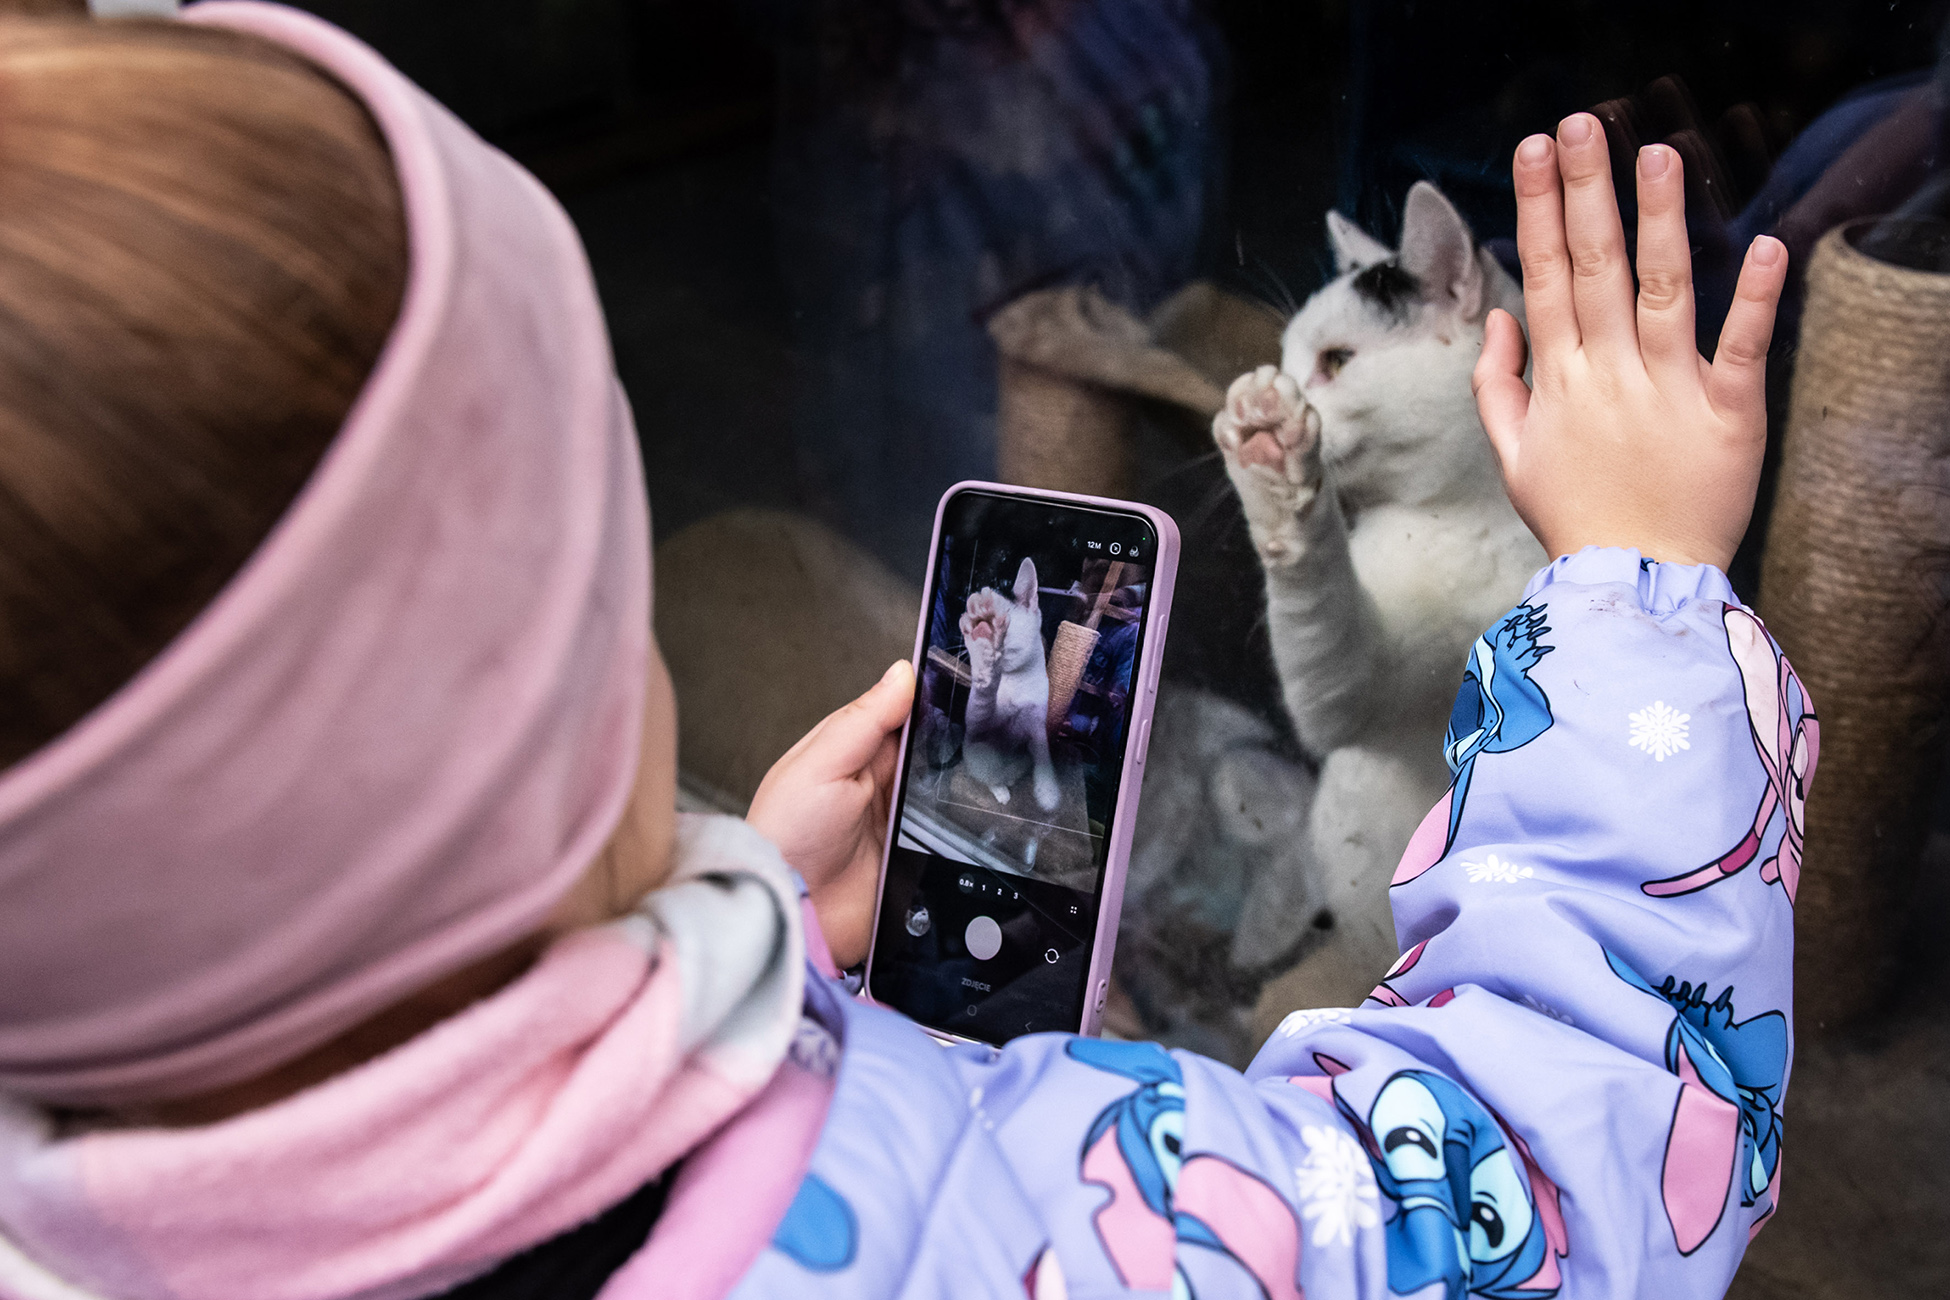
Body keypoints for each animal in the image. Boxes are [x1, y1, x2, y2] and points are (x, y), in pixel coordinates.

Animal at [961, 557, 1062, 812]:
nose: (980, 631)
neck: (1017, 681)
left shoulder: (1037, 722)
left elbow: (1043, 750)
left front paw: (1047, 791)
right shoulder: (979, 732)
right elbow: (982, 707)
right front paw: (983, 665)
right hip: (976, 757)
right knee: (991, 774)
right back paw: (1001, 789)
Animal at [1212, 181, 1545, 1004]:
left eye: (1336, 360)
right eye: (1287, 358)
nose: (1285, 386)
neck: (1471, 521)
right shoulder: (1355, 696)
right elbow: (1324, 634)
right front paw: (1274, 472)